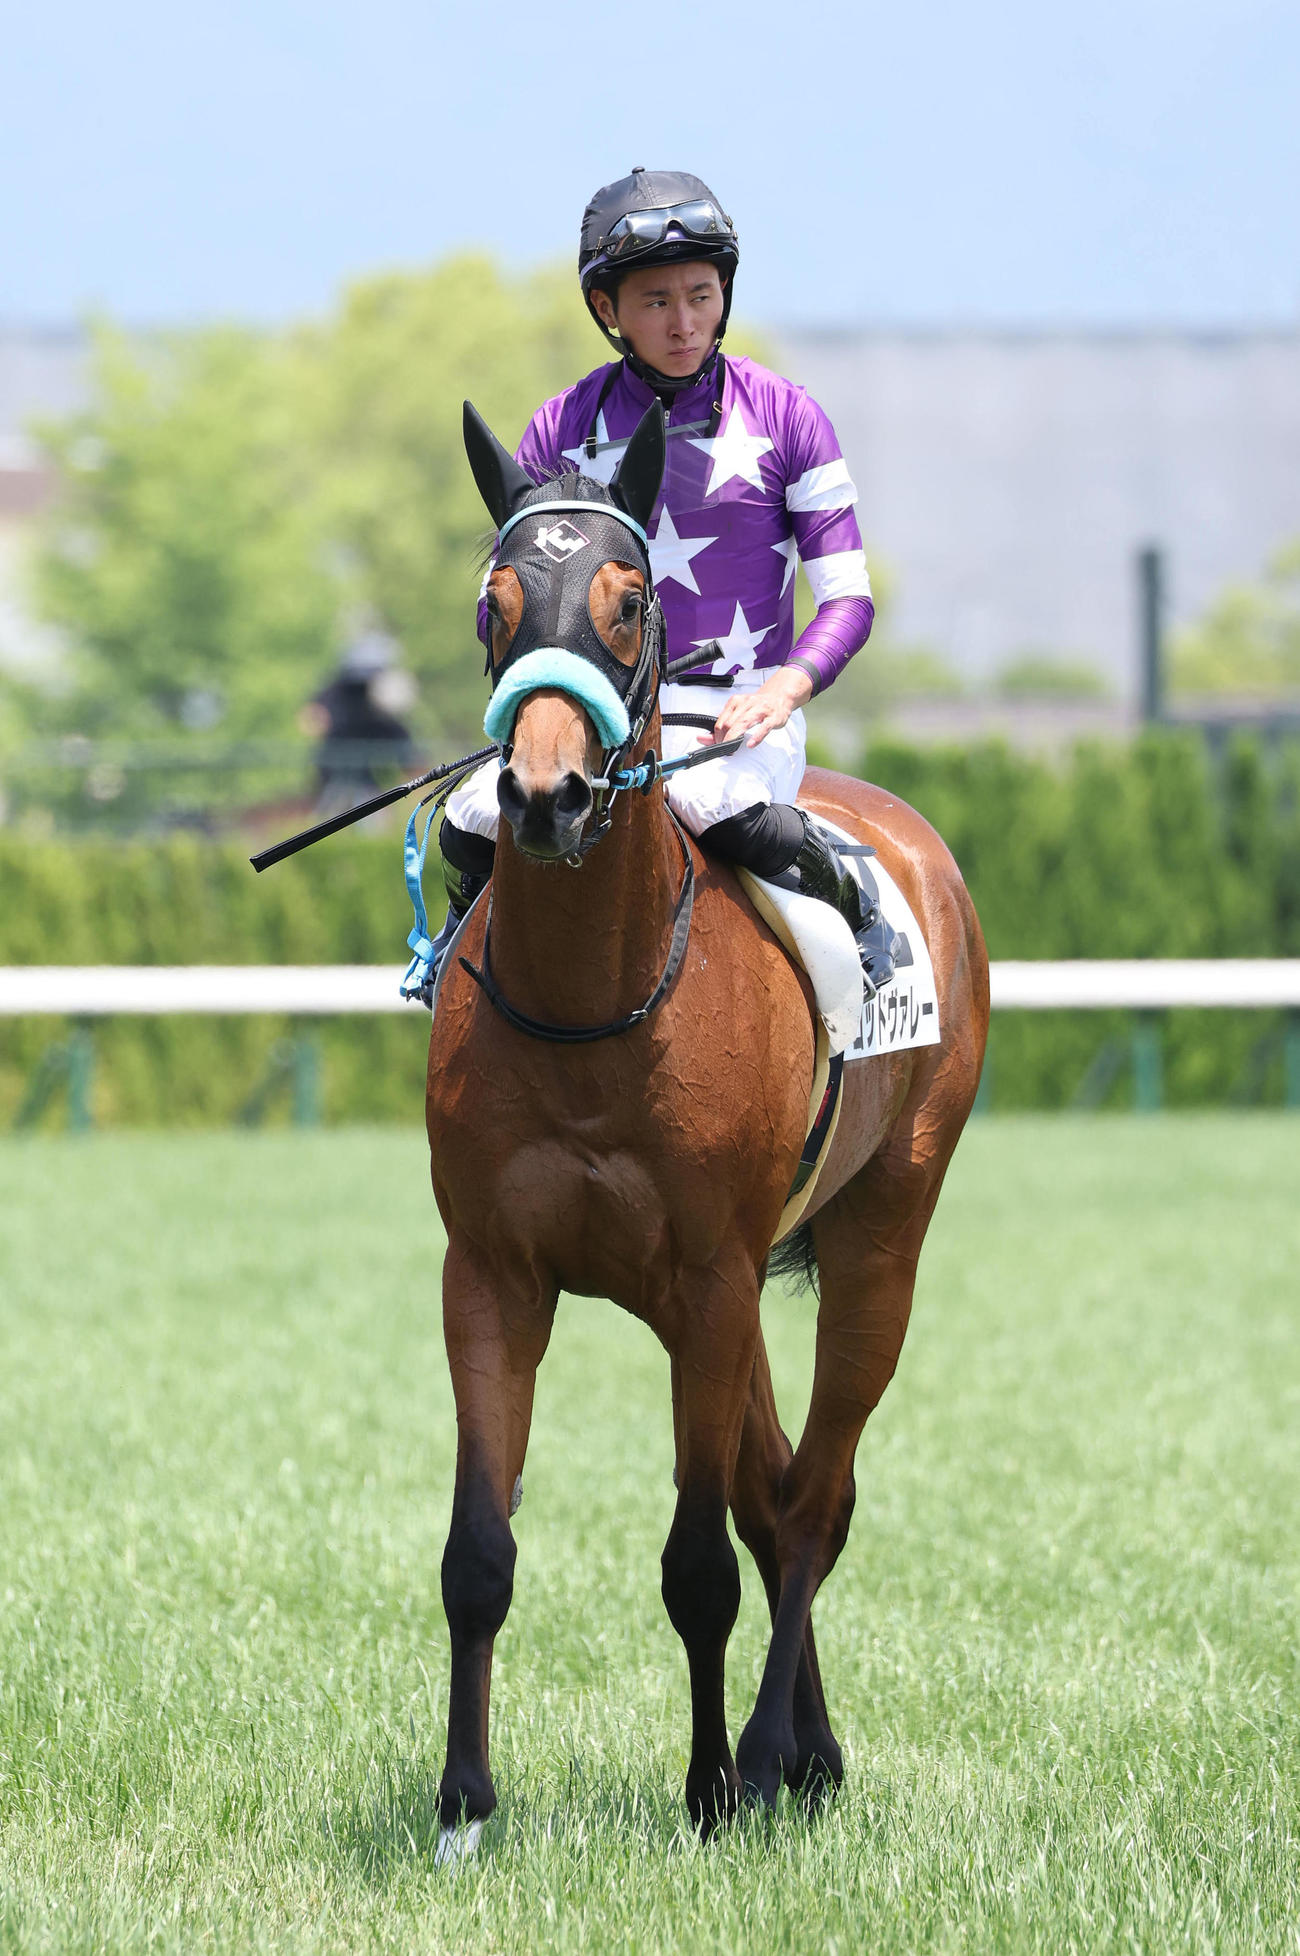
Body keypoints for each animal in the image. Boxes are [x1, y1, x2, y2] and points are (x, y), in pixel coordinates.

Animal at [423, 399, 989, 1848]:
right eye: (491, 603)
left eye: (628, 603)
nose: (546, 796)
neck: (593, 1000)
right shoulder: (495, 1272)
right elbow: (479, 1551)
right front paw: (462, 1806)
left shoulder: (718, 1269)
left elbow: (696, 1563)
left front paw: (713, 1787)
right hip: (695, 1302)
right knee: (775, 1489)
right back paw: (813, 1749)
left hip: (875, 1243)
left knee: (814, 1501)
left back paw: (778, 1749)